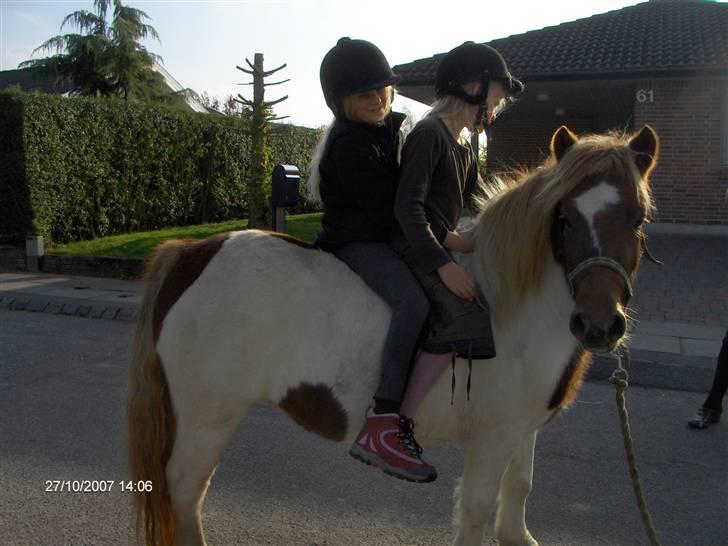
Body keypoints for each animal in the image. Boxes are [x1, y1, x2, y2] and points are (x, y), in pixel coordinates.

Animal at [126, 124, 659, 546]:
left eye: (638, 218)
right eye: (564, 219)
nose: (599, 324)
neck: (512, 307)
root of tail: (191, 254)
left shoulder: (521, 432)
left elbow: (520, 488)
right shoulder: (491, 439)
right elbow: (476, 511)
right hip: (205, 419)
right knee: (185, 493)